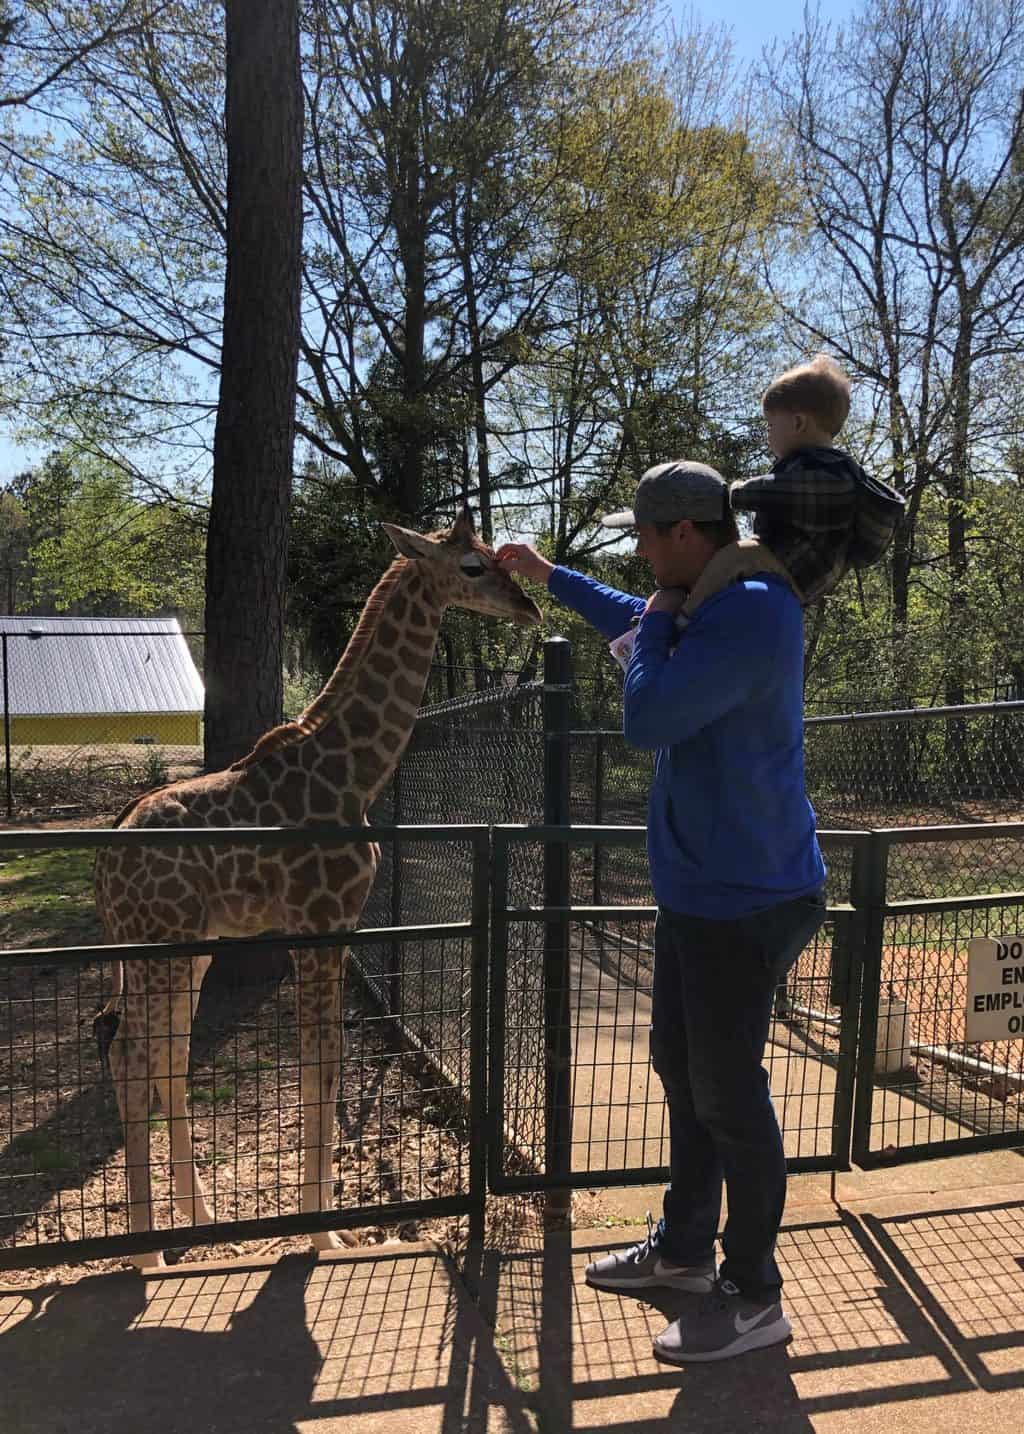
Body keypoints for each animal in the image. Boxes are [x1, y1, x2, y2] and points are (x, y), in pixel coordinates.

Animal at [93, 513, 542, 1267]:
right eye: (474, 567)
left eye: (499, 558)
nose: (530, 607)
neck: (355, 771)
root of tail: (105, 859)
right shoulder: (316, 925)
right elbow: (318, 1067)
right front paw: (322, 1230)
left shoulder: (337, 930)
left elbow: (326, 1064)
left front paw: (329, 1221)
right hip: (160, 946)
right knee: (131, 1058)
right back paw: (147, 1252)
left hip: (185, 949)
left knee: (166, 1058)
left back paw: (199, 1217)